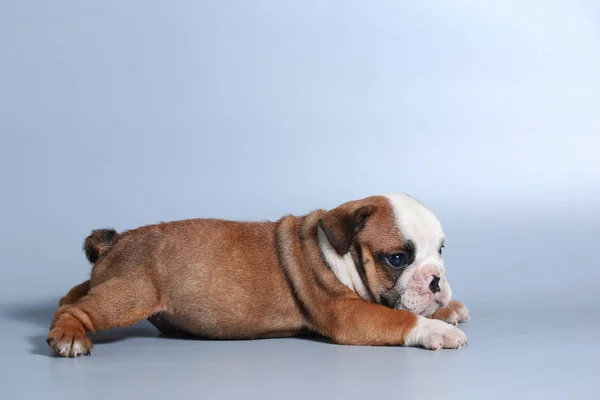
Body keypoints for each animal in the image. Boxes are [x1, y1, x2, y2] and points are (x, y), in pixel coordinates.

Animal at [47, 193, 468, 356]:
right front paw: (438, 331)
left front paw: (448, 309)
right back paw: (69, 337)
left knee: (74, 293)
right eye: (396, 259)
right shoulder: (350, 315)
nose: (436, 280)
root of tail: (116, 242)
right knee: (74, 310)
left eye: (440, 251)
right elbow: (400, 317)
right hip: (132, 293)